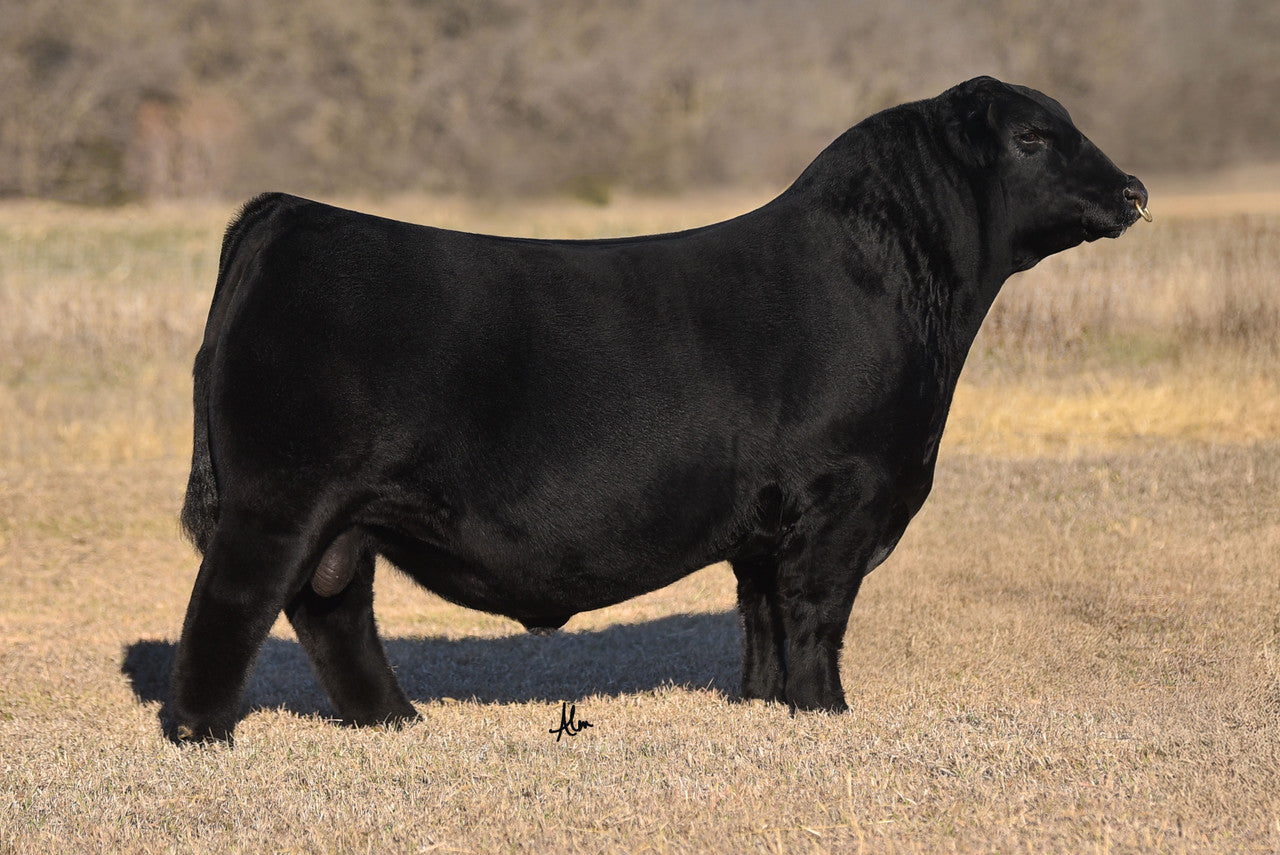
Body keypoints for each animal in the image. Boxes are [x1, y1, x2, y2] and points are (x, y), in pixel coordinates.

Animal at [171, 76, 1149, 742]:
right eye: (1032, 137)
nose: (1135, 190)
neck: (905, 289)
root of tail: (289, 213)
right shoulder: (845, 496)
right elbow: (816, 611)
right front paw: (826, 714)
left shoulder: (769, 521)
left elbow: (762, 614)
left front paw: (765, 704)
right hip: (279, 498)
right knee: (234, 602)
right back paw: (205, 735)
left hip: (342, 513)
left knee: (333, 607)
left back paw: (395, 719)